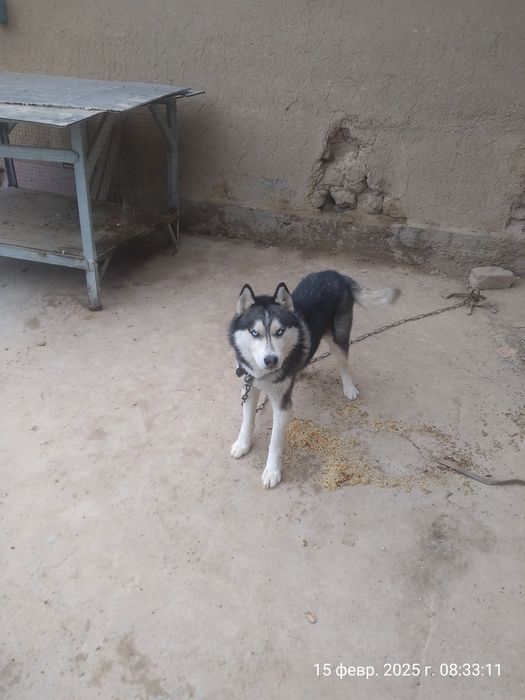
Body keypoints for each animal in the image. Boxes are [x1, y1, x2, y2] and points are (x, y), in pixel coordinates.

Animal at [229, 270, 399, 488]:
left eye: (279, 332)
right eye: (254, 333)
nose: (271, 360)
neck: (262, 375)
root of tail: (337, 274)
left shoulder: (282, 403)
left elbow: (275, 441)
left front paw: (272, 471)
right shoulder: (249, 386)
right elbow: (247, 420)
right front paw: (243, 444)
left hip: (338, 337)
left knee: (344, 361)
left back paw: (349, 387)